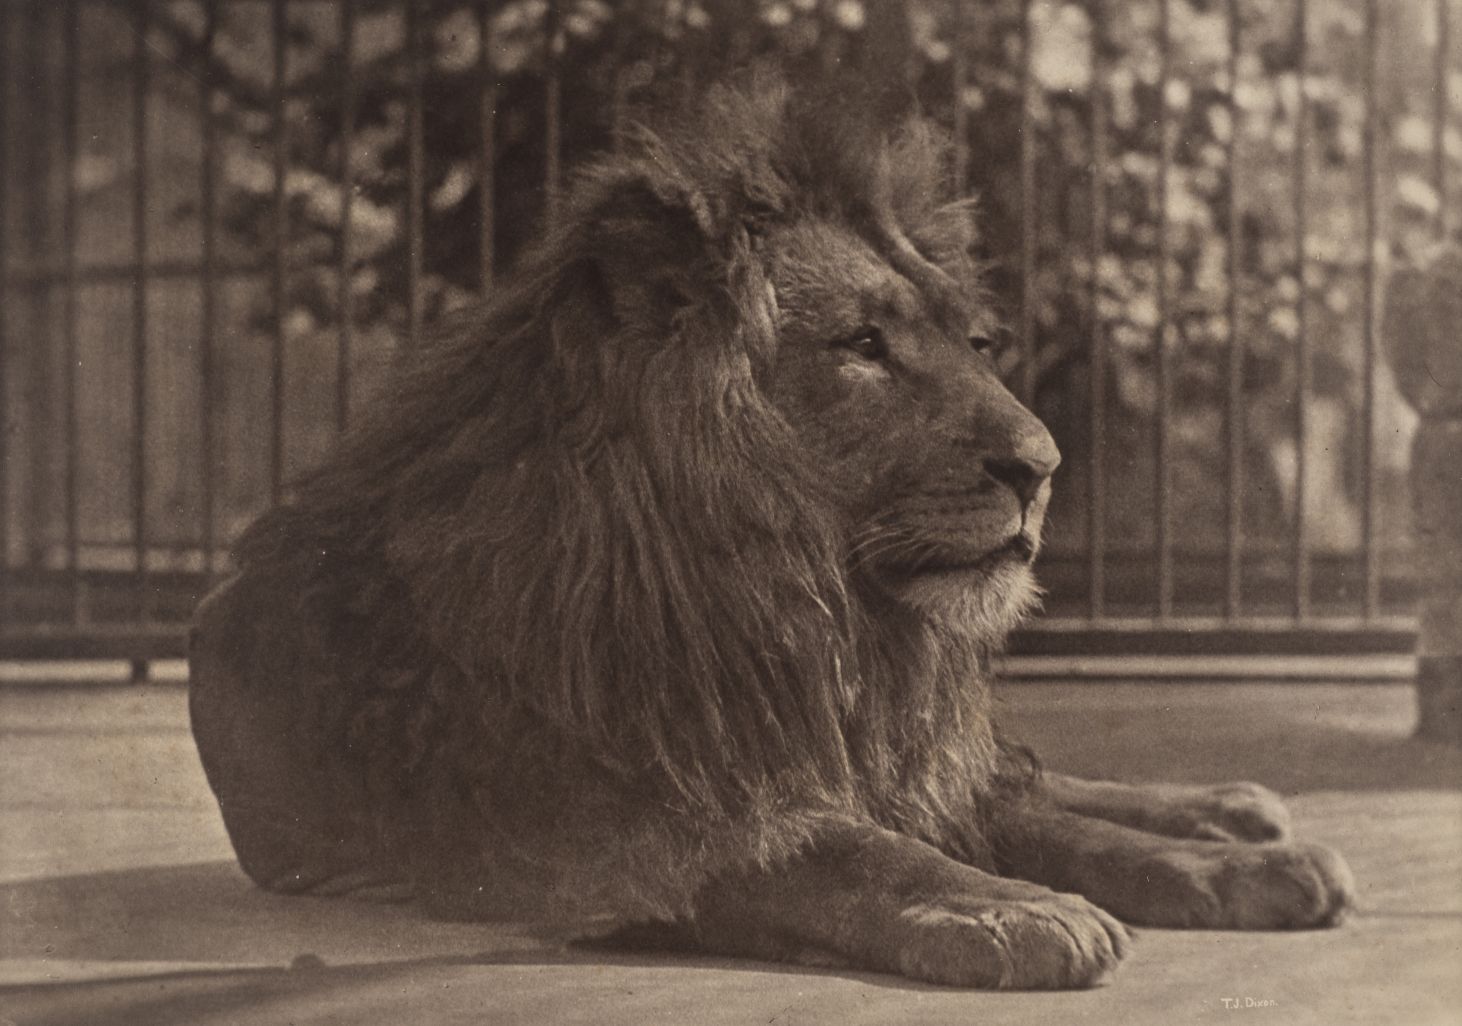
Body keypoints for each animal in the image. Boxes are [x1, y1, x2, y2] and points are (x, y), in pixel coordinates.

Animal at [188, 72, 1350, 988]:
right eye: (862, 345)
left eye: (973, 343)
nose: (1042, 466)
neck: (803, 600)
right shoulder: (620, 827)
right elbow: (846, 852)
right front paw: (1009, 907)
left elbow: (1054, 822)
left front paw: (1232, 869)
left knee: (1023, 774)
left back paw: (1229, 812)